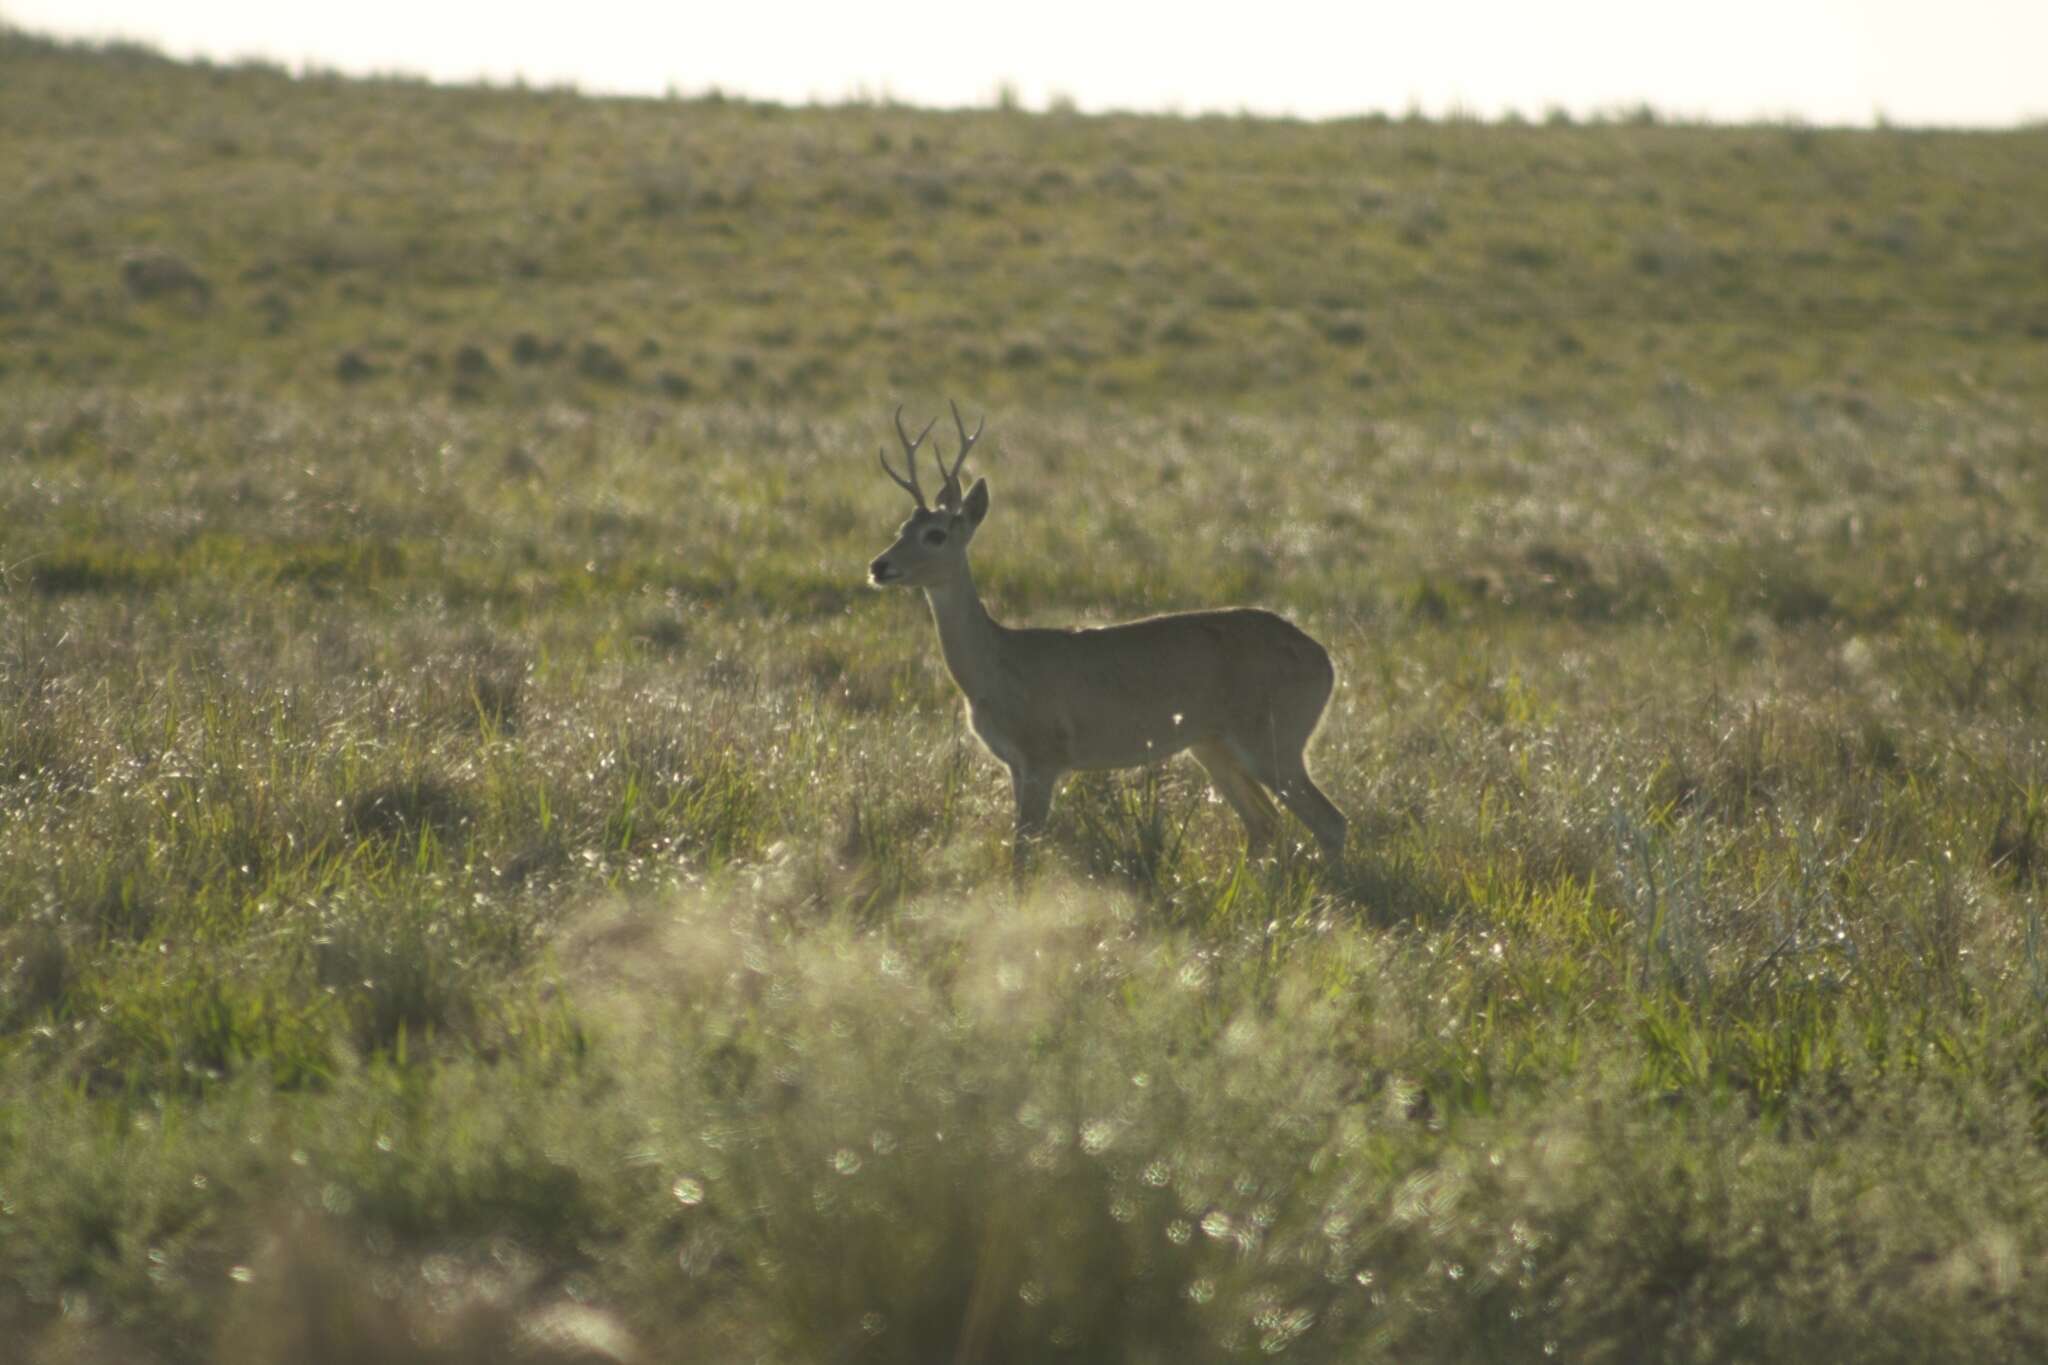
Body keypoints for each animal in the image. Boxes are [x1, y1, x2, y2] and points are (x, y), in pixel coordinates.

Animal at [860, 405, 1343, 875]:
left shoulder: (1044, 755)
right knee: (1265, 822)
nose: (878, 566)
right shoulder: (1016, 763)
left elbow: (1023, 852)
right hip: (1213, 745)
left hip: (1274, 736)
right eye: (902, 527)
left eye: (936, 534)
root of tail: (1325, 661)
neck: (996, 666)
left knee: (1329, 820)